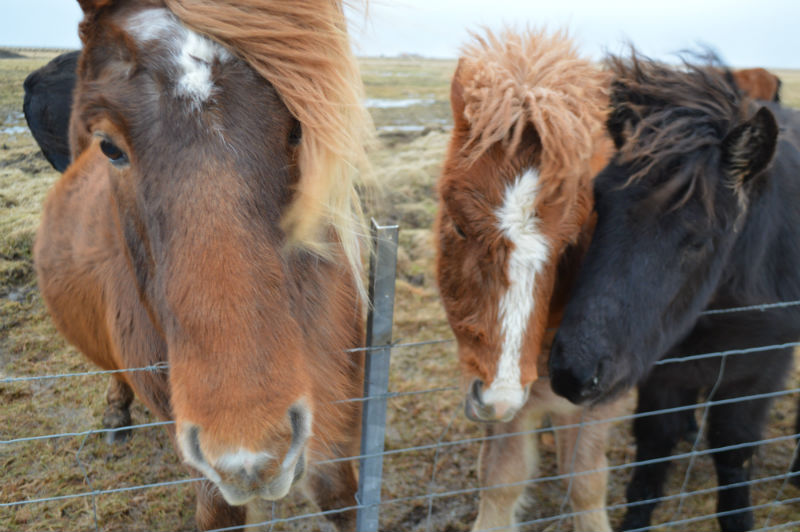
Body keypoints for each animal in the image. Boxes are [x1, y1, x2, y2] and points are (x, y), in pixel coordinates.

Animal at [552, 51, 800, 532]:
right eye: (599, 203)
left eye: (700, 238)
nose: (573, 372)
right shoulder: (661, 365)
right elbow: (652, 451)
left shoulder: (760, 367)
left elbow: (733, 450)